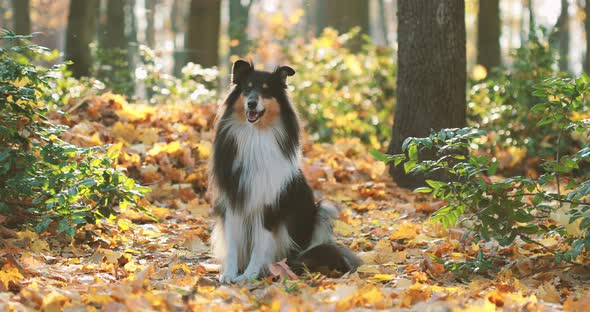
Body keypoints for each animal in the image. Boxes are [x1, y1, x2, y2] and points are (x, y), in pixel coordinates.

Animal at [210, 59, 364, 282]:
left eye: (266, 90)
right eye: (247, 88)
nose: (251, 103)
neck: (256, 136)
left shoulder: (269, 205)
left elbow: (260, 244)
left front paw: (250, 275)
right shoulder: (233, 199)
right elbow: (232, 243)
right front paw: (229, 273)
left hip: (323, 210)